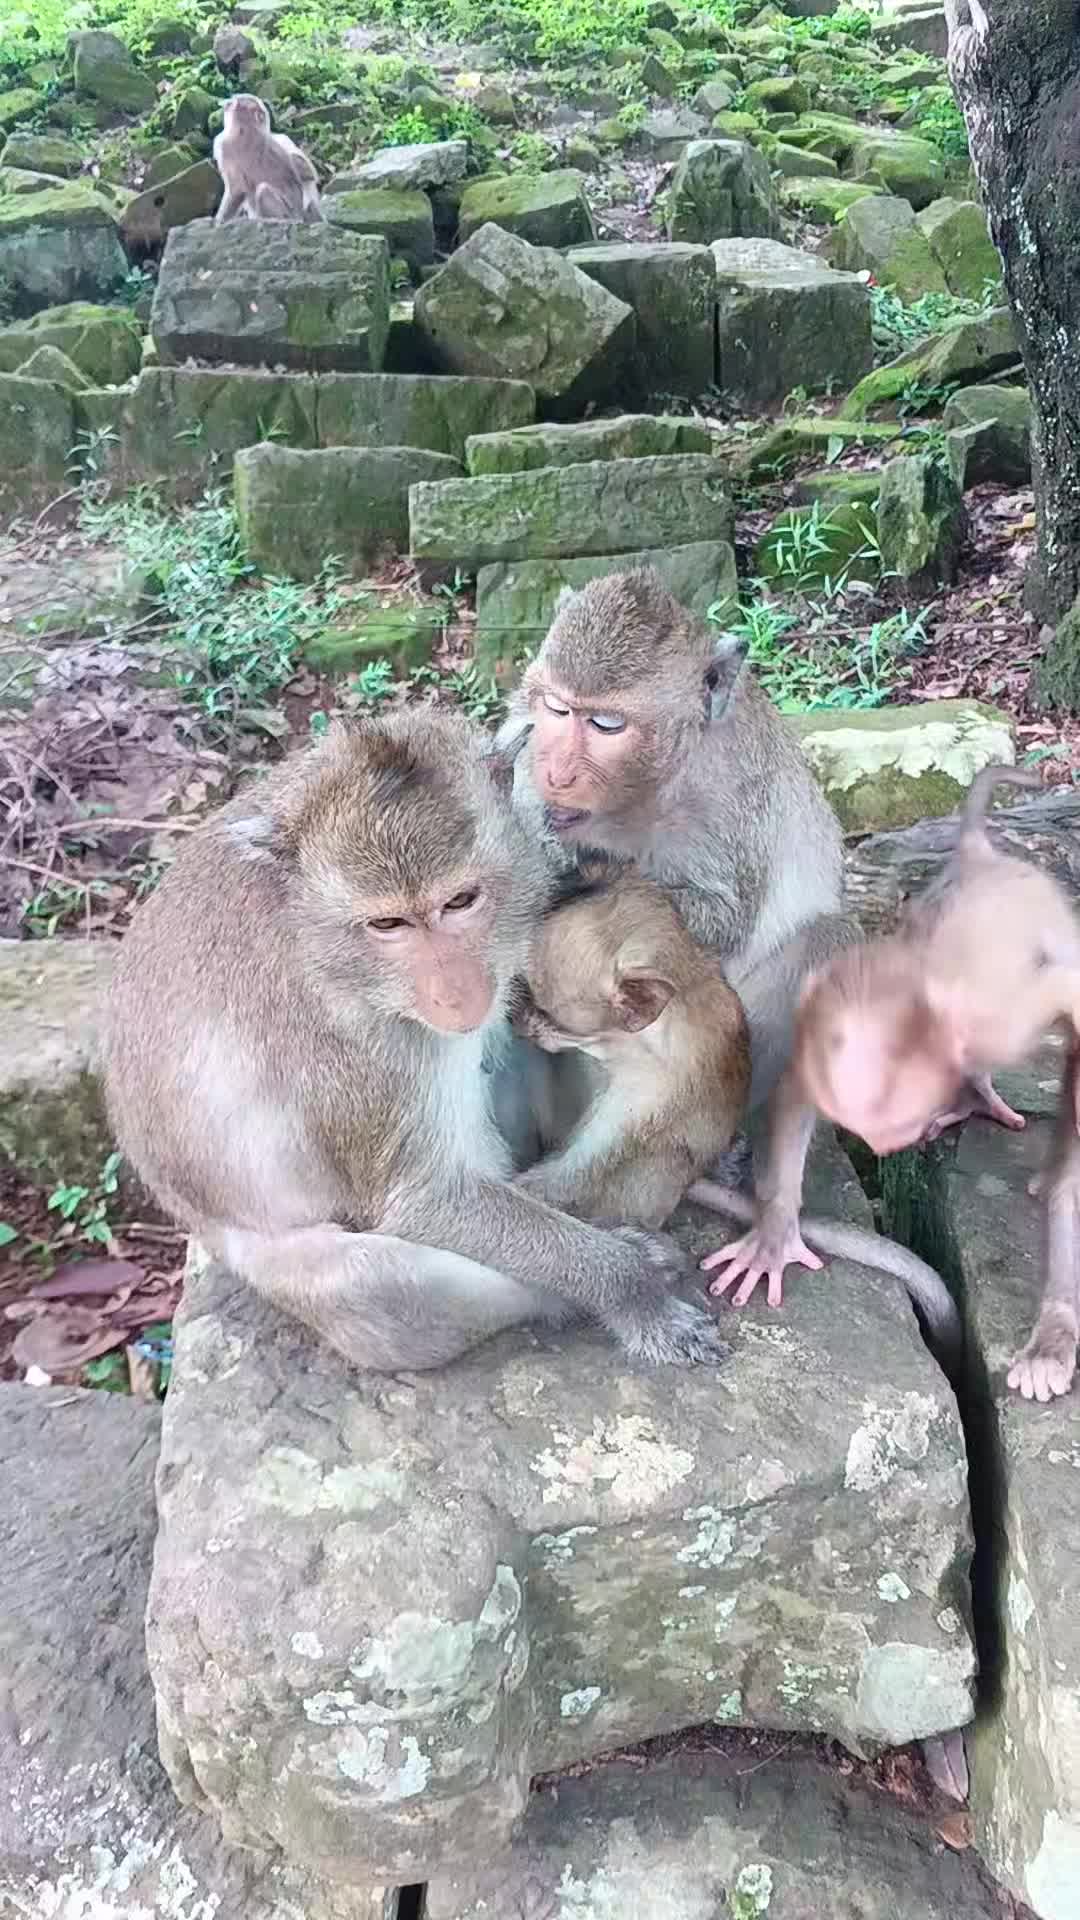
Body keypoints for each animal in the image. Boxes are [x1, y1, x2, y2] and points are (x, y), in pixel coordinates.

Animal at [104, 711, 732, 1374]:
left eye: (460, 901)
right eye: (388, 924)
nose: (453, 993)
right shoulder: (355, 1046)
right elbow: (426, 1201)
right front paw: (631, 1291)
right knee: (372, 1296)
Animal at [212, 94, 323, 225]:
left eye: (233, 101)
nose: (225, 104)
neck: (247, 129)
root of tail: (300, 216)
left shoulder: (224, 148)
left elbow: (236, 190)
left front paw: (220, 221)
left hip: (288, 212)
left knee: (263, 191)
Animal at [496, 564, 859, 1308]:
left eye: (606, 723)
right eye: (557, 710)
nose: (555, 770)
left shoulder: (733, 799)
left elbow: (721, 917)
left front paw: (573, 863)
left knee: (824, 943)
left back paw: (770, 1201)